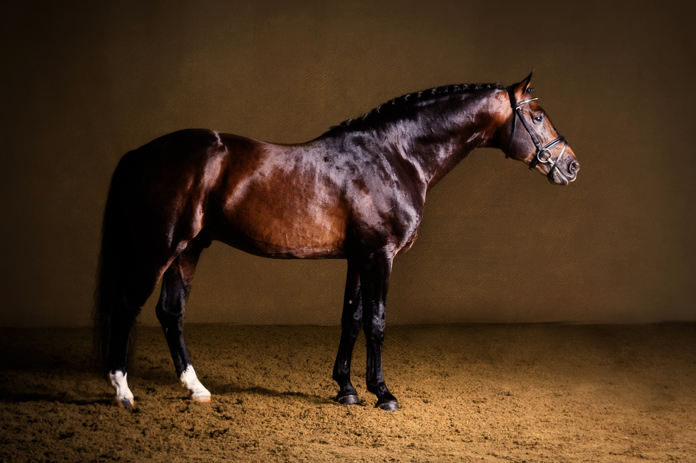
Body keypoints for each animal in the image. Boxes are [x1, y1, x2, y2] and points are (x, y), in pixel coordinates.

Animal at [95, 71, 580, 411]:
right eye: (537, 116)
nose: (571, 165)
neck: (394, 156)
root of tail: (142, 153)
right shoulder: (380, 256)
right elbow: (377, 322)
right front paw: (383, 393)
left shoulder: (357, 257)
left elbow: (351, 318)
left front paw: (346, 388)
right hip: (160, 246)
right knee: (128, 305)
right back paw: (123, 392)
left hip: (189, 249)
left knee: (170, 313)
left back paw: (196, 388)